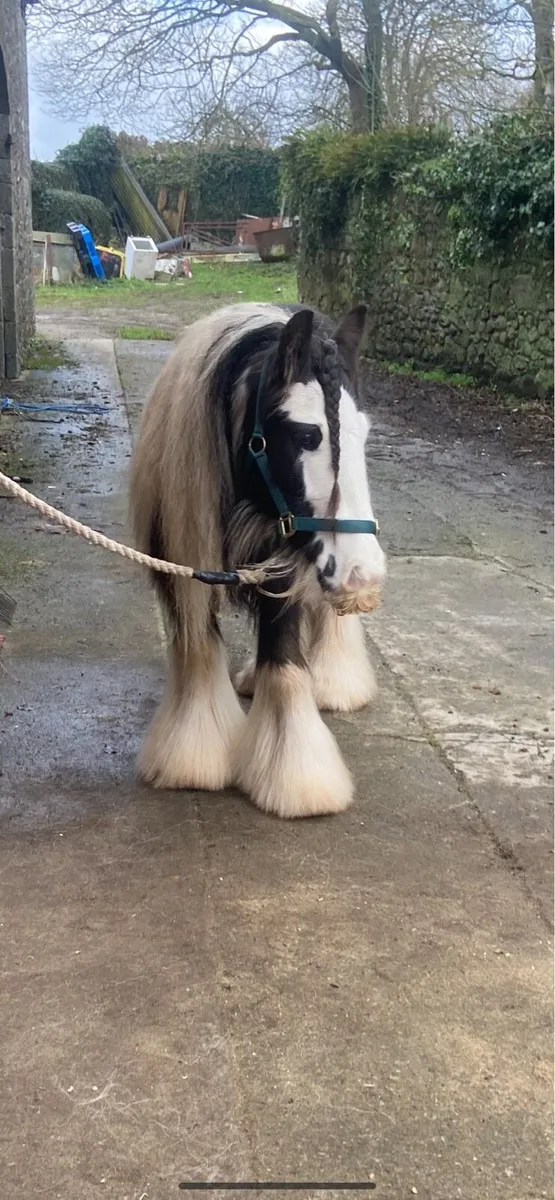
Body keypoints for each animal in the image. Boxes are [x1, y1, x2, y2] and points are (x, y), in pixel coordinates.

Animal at [130, 301, 386, 819]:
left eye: (364, 436)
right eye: (307, 434)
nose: (363, 575)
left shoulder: (283, 570)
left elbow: (285, 664)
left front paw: (298, 779)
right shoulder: (182, 568)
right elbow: (198, 650)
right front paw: (194, 757)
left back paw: (335, 681)